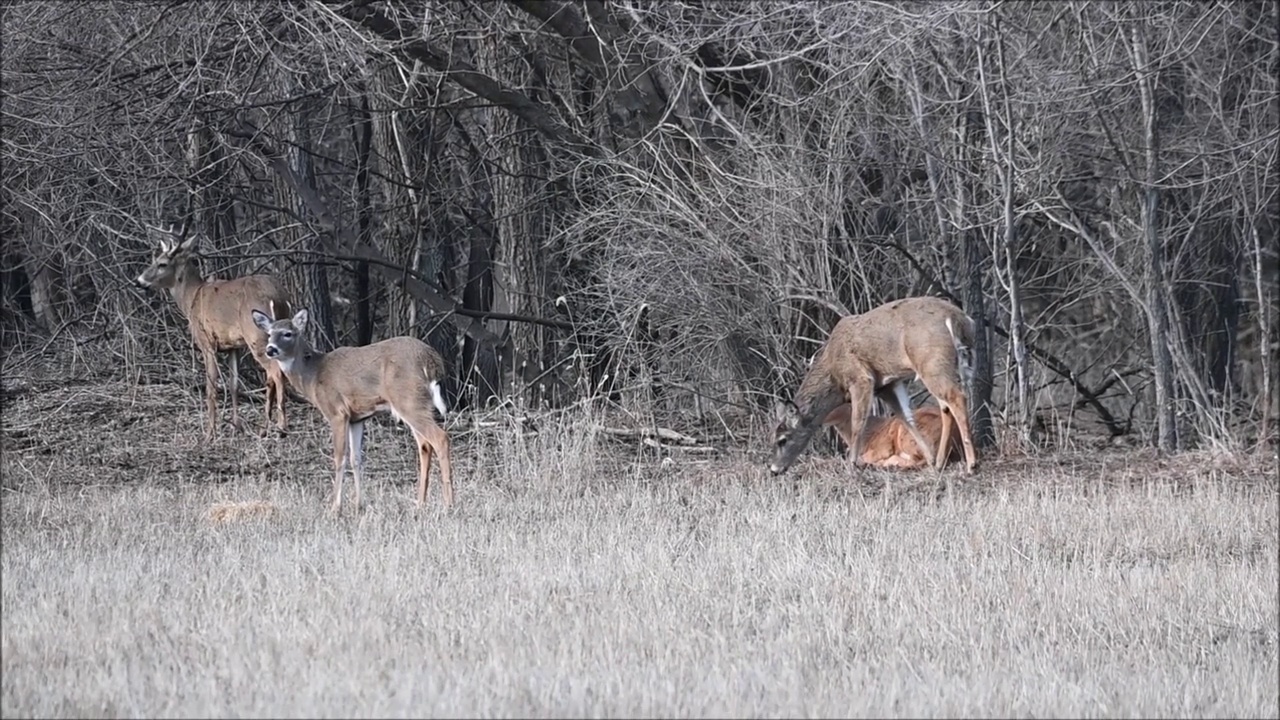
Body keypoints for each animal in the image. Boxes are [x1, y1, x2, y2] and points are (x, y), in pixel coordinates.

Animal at [135, 224, 294, 438]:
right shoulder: (233, 346)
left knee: (276, 372)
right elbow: (234, 385)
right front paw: (236, 426)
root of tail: (277, 298)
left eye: (162, 263)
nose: (138, 281)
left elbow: (211, 387)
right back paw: (264, 428)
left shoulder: (206, 342)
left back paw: (280, 427)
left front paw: (210, 433)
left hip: (257, 335)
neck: (191, 299)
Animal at [250, 304, 455, 512]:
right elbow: (356, 459)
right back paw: (420, 503)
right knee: (425, 445)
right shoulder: (357, 418)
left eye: (288, 333)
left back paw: (449, 504)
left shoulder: (336, 412)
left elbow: (339, 457)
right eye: (269, 334)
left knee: (440, 438)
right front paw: (359, 504)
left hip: (408, 399)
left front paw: (335, 507)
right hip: (414, 403)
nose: (270, 349)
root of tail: (432, 360)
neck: (313, 375)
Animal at [768, 294, 977, 474]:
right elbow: (906, 418)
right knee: (946, 406)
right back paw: (940, 463)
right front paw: (930, 459)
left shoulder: (860, 378)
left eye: (782, 439)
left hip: (931, 361)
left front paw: (852, 465)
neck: (833, 372)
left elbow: (857, 422)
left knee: (957, 397)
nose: (774, 470)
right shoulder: (887, 385)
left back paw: (971, 465)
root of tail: (958, 317)